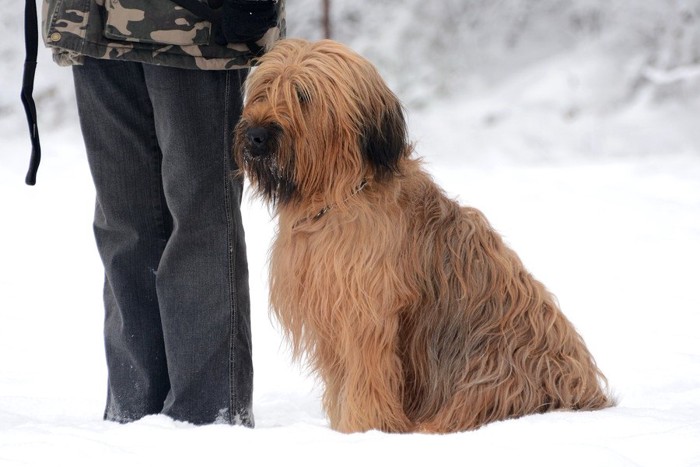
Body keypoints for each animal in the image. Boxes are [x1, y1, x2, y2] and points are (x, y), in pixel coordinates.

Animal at [232, 38, 608, 434]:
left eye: (303, 95)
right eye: (263, 89)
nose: (256, 135)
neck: (338, 196)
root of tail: (589, 397)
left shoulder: (364, 314)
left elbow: (366, 378)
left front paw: (364, 429)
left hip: (491, 375)